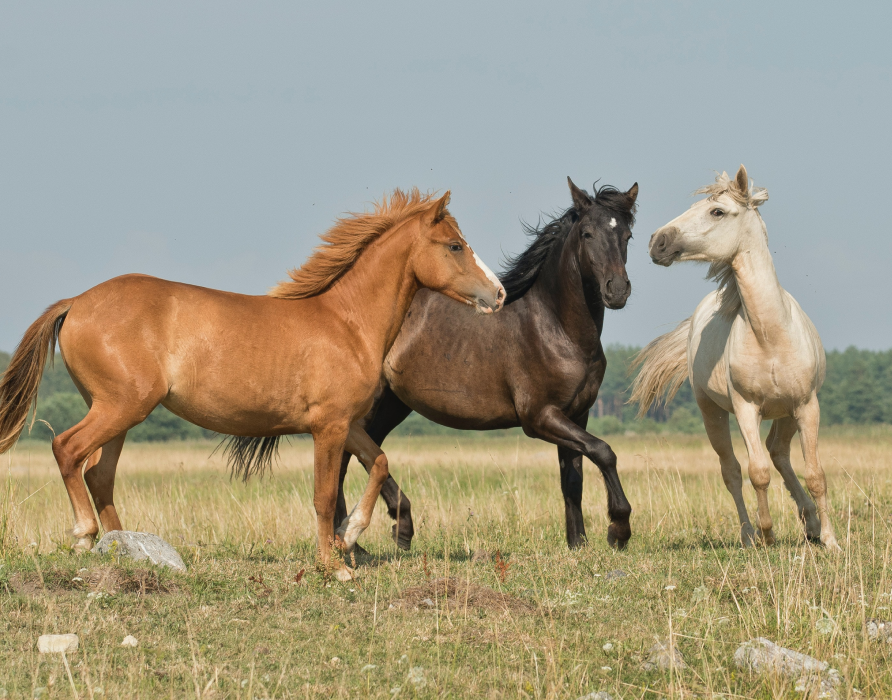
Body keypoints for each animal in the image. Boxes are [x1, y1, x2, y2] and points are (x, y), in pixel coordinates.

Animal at [0, 189, 506, 581]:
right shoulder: (328, 427)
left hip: (119, 413)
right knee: (68, 449)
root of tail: (76, 302)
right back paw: (85, 536)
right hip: (120, 407)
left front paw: (351, 536)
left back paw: (125, 548)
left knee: (99, 474)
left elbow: (379, 463)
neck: (346, 323)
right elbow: (324, 495)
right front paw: (333, 565)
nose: (498, 294)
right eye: (455, 245)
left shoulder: (346, 424)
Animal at [332, 177, 640, 551]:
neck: (555, 327)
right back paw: (361, 537)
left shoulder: (576, 414)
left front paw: (577, 543)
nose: (617, 290)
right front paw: (618, 530)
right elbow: (604, 451)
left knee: (364, 453)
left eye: (627, 235)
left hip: (392, 404)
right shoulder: (539, 417)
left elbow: (573, 479)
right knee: (345, 457)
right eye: (587, 233)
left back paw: (382, 533)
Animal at [631, 165, 839, 550]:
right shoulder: (746, 409)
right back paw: (749, 534)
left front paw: (831, 541)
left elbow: (816, 473)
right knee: (733, 471)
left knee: (779, 452)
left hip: (787, 412)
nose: (657, 241)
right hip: (711, 412)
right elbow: (756, 473)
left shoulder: (807, 406)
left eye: (717, 211)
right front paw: (767, 534)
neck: (771, 336)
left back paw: (811, 524)